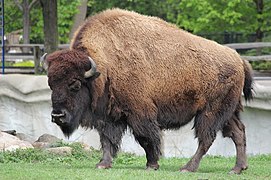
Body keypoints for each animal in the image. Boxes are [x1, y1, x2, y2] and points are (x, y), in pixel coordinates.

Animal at [41, 8, 254, 174]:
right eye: (50, 83)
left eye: (75, 84)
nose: (57, 115)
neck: (104, 66)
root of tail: (238, 58)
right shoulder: (109, 115)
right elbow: (107, 139)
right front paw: (103, 164)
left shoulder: (139, 113)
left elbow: (146, 138)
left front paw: (152, 164)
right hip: (229, 112)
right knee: (238, 132)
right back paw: (237, 168)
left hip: (210, 112)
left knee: (207, 138)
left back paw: (188, 168)